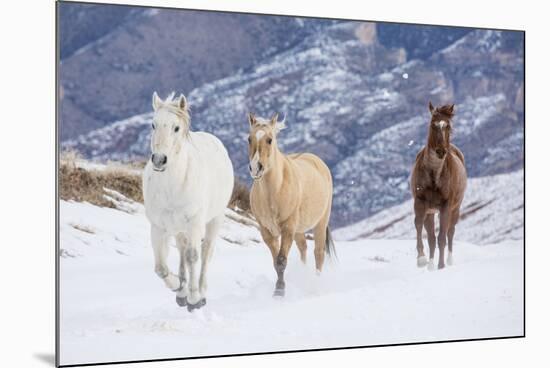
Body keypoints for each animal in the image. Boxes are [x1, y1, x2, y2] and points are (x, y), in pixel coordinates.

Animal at [142, 91, 235, 310]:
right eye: (153, 124)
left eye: (176, 127)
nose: (159, 160)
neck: (171, 186)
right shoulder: (158, 227)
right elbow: (160, 267)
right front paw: (178, 285)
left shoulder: (194, 223)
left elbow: (193, 256)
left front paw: (194, 298)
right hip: (178, 228)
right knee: (182, 251)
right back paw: (181, 292)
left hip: (214, 220)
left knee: (206, 251)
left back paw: (200, 291)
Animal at [249, 113, 336, 298]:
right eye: (249, 138)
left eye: (270, 139)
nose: (255, 168)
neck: (274, 191)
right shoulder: (267, 231)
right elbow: (276, 261)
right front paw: (279, 289)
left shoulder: (287, 228)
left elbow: (281, 260)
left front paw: (279, 292)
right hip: (299, 230)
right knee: (303, 248)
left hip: (320, 223)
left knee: (318, 253)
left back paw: (316, 284)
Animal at [412, 103, 468, 270]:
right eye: (433, 124)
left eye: (448, 125)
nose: (441, 151)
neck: (434, 176)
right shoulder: (420, 202)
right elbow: (419, 225)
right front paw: (421, 259)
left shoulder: (446, 206)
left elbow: (442, 236)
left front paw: (441, 265)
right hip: (431, 211)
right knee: (431, 237)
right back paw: (430, 264)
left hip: (455, 209)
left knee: (450, 232)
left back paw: (448, 260)